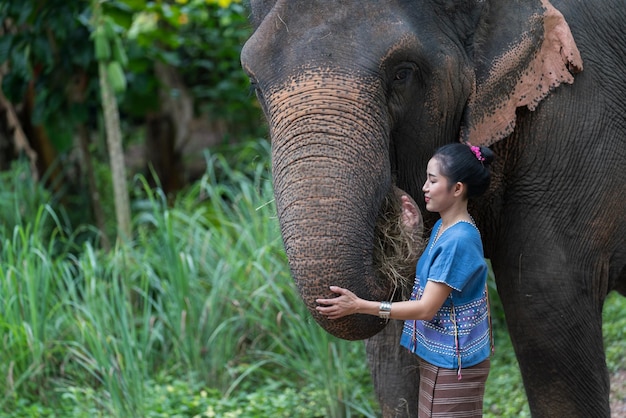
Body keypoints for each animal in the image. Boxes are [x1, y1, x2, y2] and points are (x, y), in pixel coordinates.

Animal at [240, 0, 624, 416]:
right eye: (254, 85)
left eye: (403, 73)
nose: (403, 203)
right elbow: (393, 351)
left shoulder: (575, 127)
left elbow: (547, 308)